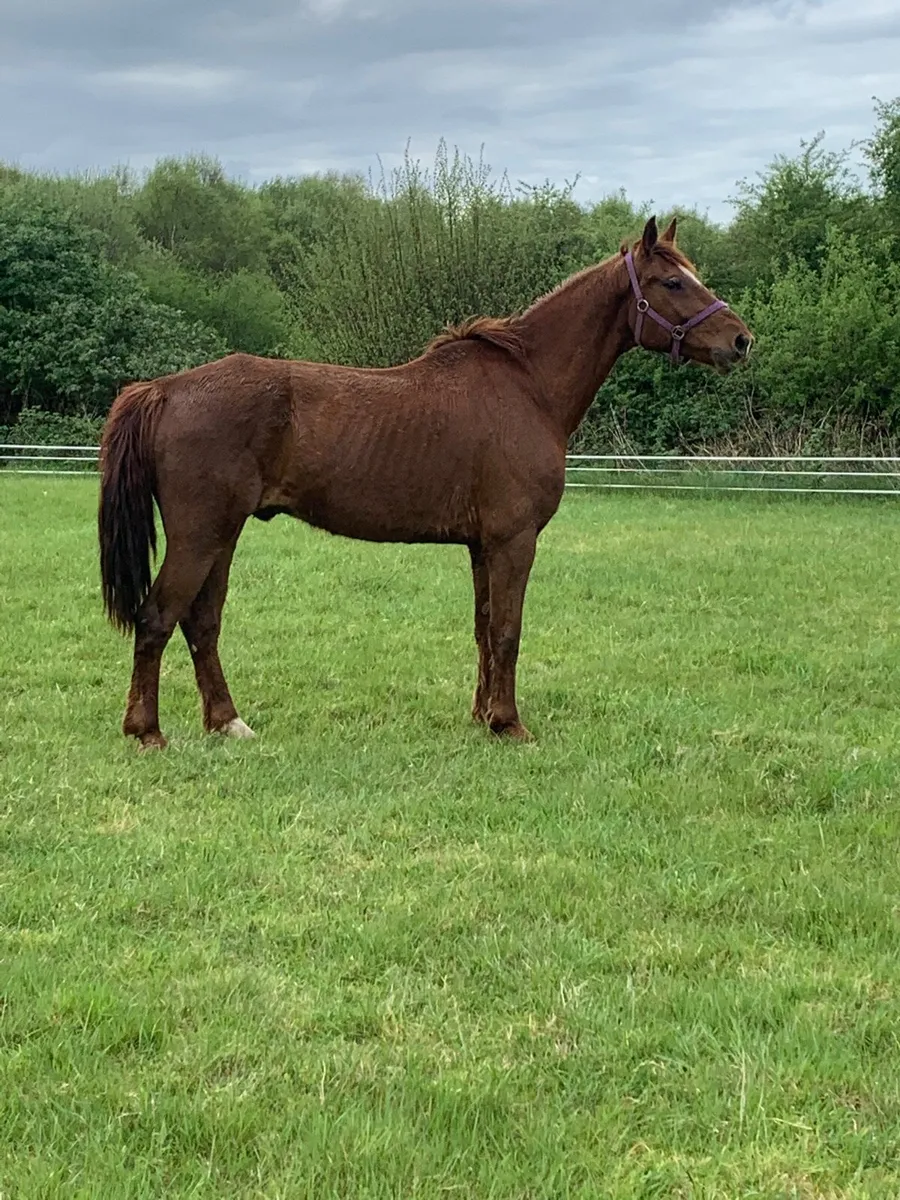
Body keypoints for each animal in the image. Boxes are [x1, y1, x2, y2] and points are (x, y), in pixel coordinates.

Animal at [98, 216, 752, 749]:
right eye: (672, 283)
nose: (741, 340)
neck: (528, 386)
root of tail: (164, 389)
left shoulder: (482, 545)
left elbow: (484, 628)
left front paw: (483, 716)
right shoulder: (514, 540)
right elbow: (508, 630)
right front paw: (510, 724)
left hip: (223, 534)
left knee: (202, 621)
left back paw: (227, 722)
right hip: (201, 534)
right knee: (157, 618)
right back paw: (147, 731)